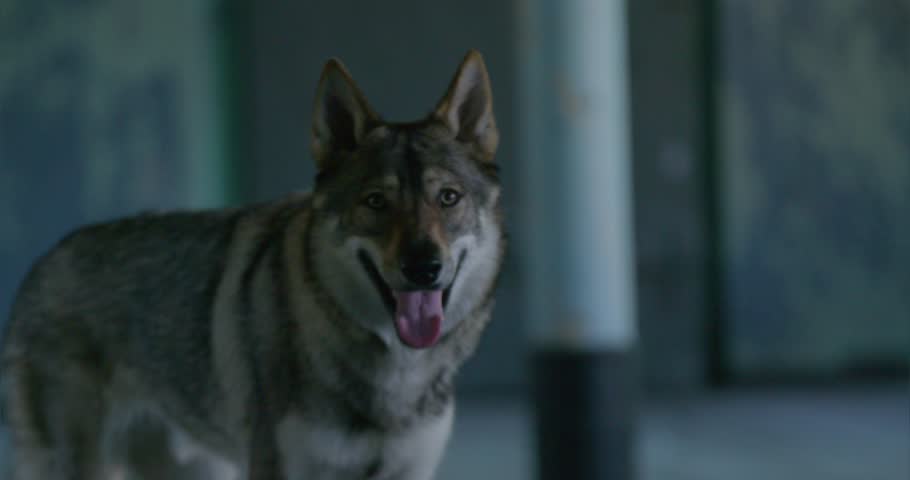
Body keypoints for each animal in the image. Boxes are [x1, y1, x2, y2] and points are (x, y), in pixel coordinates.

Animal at [0, 50, 504, 480]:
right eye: (376, 202)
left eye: (449, 198)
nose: (424, 267)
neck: (398, 372)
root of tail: (43, 260)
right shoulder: (276, 466)